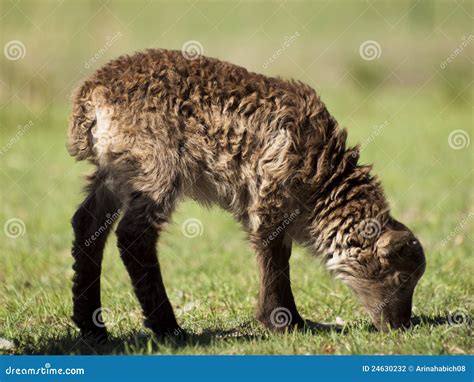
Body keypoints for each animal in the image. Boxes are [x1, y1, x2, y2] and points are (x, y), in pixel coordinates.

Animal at [68, 48, 428, 340]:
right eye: (401, 278)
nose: (400, 326)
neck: (324, 180)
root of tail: (92, 93)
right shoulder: (272, 191)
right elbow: (274, 254)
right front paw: (285, 322)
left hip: (116, 168)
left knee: (87, 224)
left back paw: (92, 325)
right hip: (154, 164)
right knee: (134, 237)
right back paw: (167, 327)